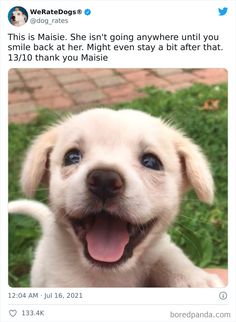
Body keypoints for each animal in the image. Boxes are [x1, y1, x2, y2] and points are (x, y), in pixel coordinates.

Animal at [8, 108, 224, 286]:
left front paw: (194, 279)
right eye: (71, 157)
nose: (104, 180)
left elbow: (168, 255)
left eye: (152, 162)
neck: (110, 276)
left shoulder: (159, 249)